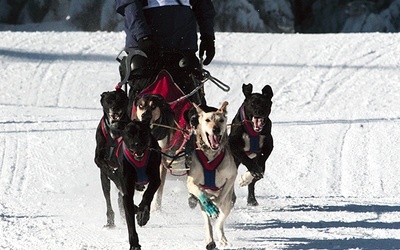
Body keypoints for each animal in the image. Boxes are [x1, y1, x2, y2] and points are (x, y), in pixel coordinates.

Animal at [187, 101, 239, 250]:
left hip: (228, 205)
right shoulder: (191, 182)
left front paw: (215, 203)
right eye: (207, 120)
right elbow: (199, 190)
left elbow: (221, 197)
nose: (215, 129)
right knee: (208, 223)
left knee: (219, 223)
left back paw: (222, 239)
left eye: (221, 120)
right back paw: (210, 239)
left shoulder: (232, 176)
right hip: (202, 208)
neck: (211, 154)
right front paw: (210, 205)